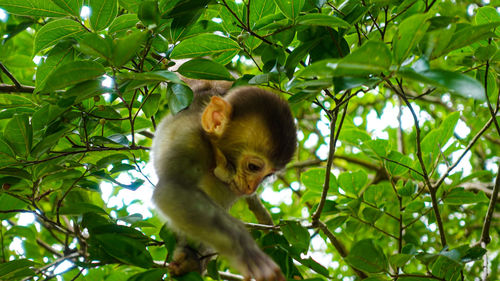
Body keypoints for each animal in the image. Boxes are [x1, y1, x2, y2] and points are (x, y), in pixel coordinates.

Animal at [150, 79, 294, 280]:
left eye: (267, 175)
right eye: (253, 167)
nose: (251, 188)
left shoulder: (229, 187)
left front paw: (191, 258)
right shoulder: (190, 140)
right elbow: (171, 191)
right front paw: (245, 248)